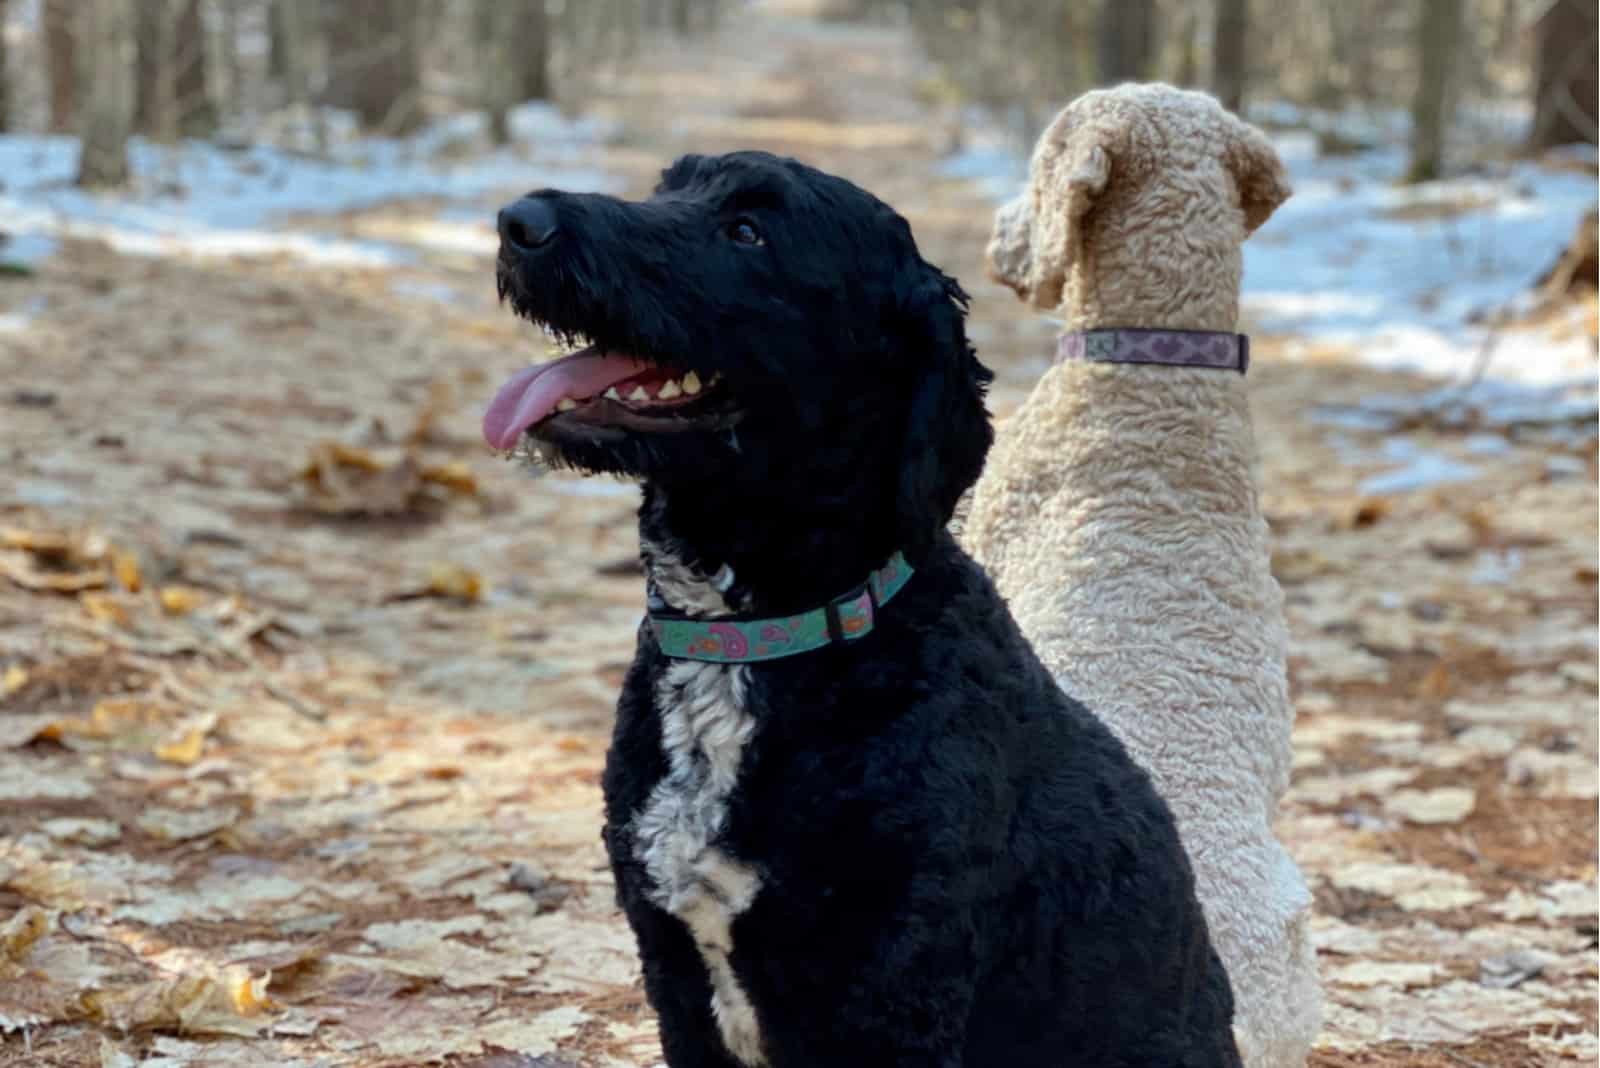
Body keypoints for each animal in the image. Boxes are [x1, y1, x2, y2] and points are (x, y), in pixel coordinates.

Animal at [483, 151, 1235, 1068]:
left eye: (748, 230)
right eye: (669, 188)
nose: (519, 221)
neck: (757, 641)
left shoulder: (889, 995)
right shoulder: (674, 975)